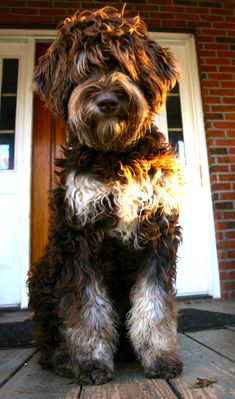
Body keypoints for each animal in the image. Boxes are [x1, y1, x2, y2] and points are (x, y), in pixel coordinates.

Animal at [28, 6, 184, 386]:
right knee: (47, 338)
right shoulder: (78, 235)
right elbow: (87, 309)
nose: (108, 101)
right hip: (43, 273)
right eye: (84, 70)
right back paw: (62, 359)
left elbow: (154, 305)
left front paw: (161, 357)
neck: (117, 154)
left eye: (125, 66)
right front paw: (89, 362)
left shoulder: (158, 233)